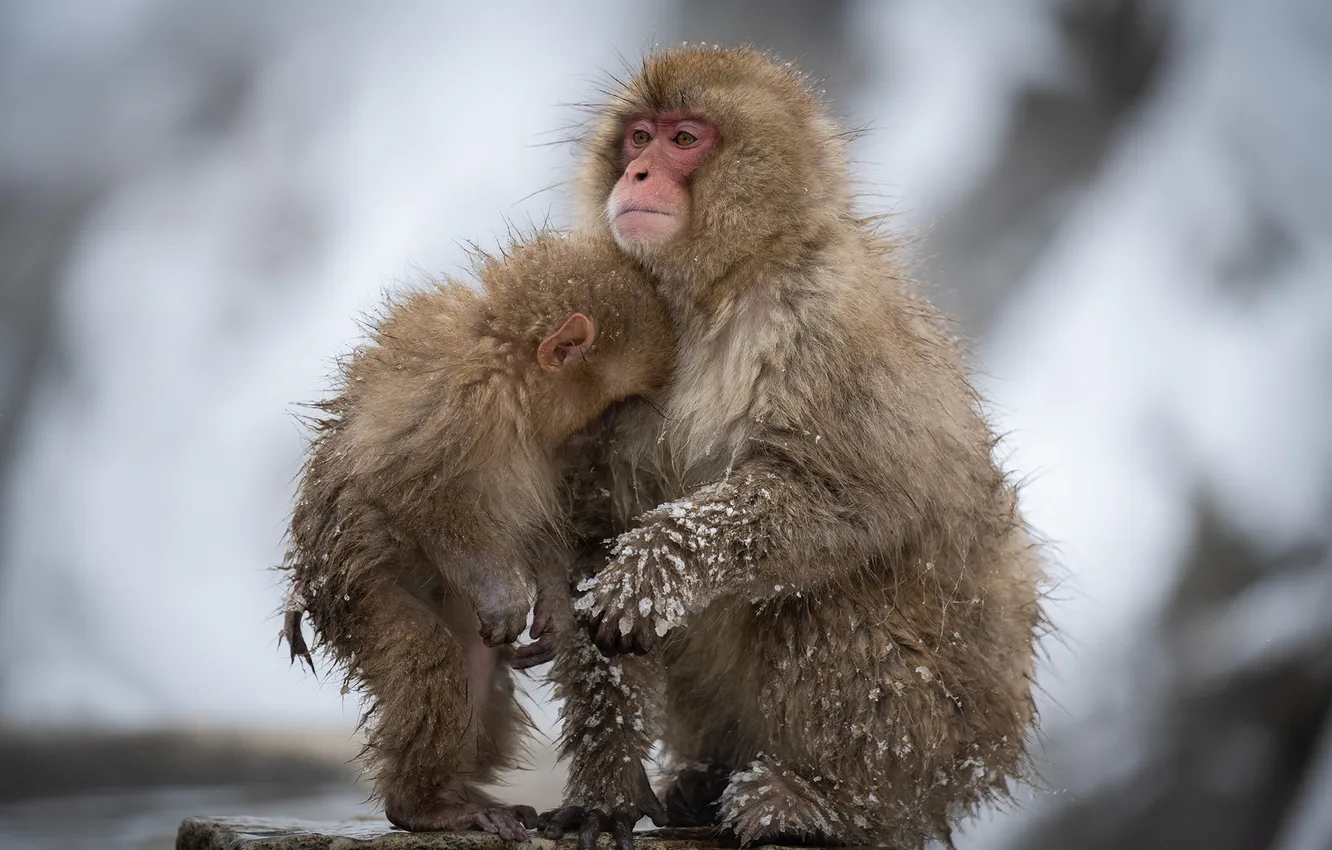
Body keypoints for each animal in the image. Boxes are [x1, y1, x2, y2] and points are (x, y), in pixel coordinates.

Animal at [280, 231, 675, 840]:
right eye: (612, 405)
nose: (602, 438)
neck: (511, 371)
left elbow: (543, 523)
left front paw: (554, 609)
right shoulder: (460, 404)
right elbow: (419, 496)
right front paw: (506, 597)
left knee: (480, 668)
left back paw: (455, 792)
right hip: (351, 596)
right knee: (430, 656)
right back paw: (423, 806)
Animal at [535, 46, 1046, 849]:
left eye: (685, 139)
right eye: (639, 136)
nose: (637, 173)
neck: (713, 293)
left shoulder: (823, 324)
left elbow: (850, 498)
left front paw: (655, 564)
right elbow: (590, 546)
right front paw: (604, 788)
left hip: (941, 735)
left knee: (822, 593)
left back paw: (823, 800)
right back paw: (704, 780)